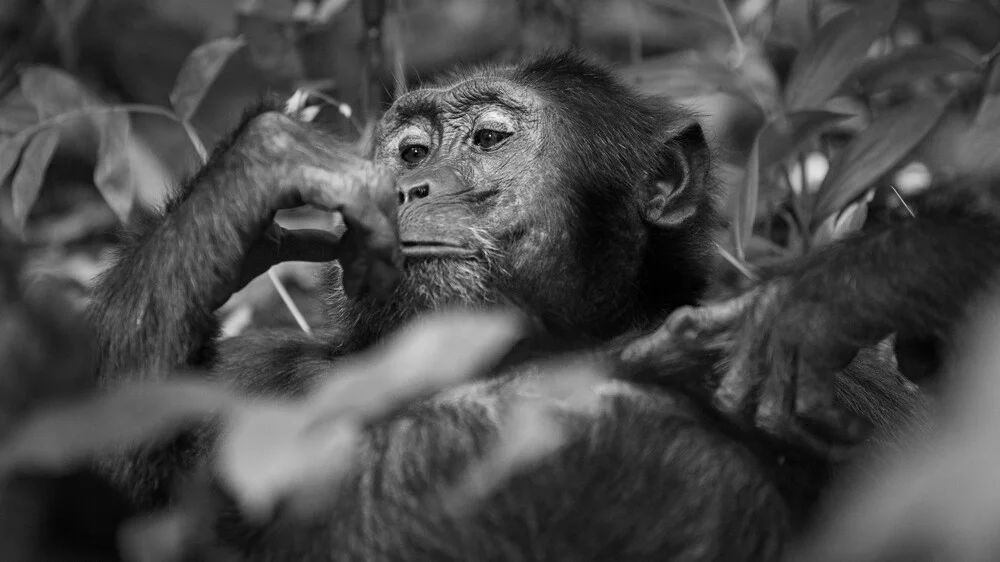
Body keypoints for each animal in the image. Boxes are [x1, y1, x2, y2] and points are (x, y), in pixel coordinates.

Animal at [84, 50, 1000, 556]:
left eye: (490, 139)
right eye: (410, 149)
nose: (410, 185)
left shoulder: (861, 398)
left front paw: (854, 284)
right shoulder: (267, 382)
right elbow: (109, 479)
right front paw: (265, 166)